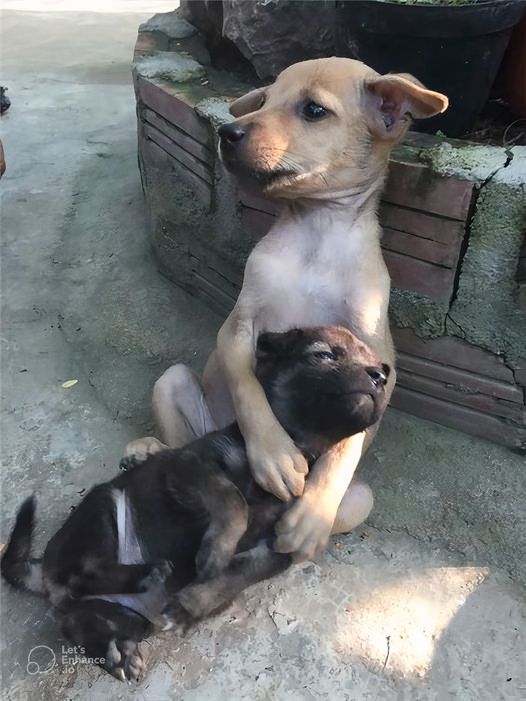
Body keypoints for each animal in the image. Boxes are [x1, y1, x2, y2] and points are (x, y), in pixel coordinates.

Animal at [0, 326, 388, 680]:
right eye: (324, 355)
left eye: (379, 368)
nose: (381, 377)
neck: (301, 445)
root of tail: (41, 572)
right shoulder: (190, 466)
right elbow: (233, 500)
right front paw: (216, 551)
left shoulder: (272, 550)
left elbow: (227, 582)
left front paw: (188, 607)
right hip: (102, 510)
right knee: (80, 574)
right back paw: (145, 574)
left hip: (124, 617)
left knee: (76, 621)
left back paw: (116, 652)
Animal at [128, 58, 450, 564]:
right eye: (263, 100)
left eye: (313, 110)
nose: (228, 132)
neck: (316, 231)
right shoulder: (238, 327)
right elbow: (247, 388)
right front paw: (274, 454)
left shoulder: (377, 359)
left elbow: (345, 445)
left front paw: (310, 512)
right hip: (173, 383)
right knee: (179, 449)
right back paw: (149, 451)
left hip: (361, 500)